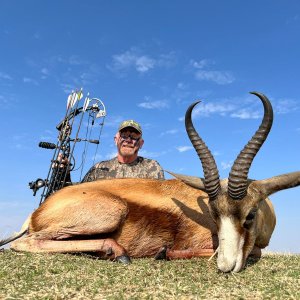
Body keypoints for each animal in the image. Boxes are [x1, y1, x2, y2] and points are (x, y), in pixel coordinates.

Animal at [1, 91, 300, 272]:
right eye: (214, 215)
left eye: (249, 215)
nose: (226, 266)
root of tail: (36, 212)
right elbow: (249, 253)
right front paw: (163, 253)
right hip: (111, 212)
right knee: (24, 243)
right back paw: (117, 251)